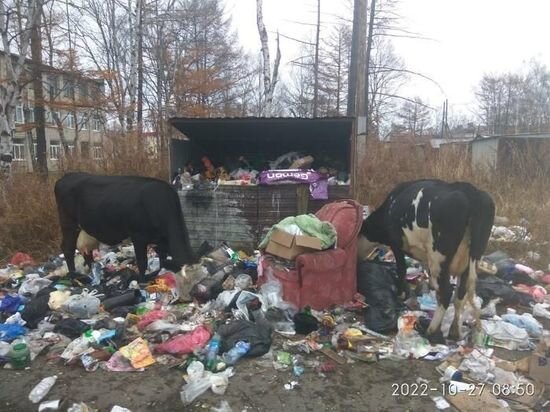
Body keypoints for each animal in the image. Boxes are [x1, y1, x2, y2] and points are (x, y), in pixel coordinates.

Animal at [54, 171, 196, 280]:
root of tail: (67, 176)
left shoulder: (160, 240)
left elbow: (162, 257)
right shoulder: (138, 236)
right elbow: (142, 262)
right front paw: (142, 280)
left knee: (87, 252)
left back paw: (96, 273)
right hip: (68, 224)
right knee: (68, 248)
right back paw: (74, 275)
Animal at [360, 179, 498, 340]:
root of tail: (471, 192)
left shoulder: (396, 243)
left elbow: (401, 269)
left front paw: (401, 293)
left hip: (439, 256)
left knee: (446, 292)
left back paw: (431, 330)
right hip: (472, 258)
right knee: (460, 294)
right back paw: (454, 331)